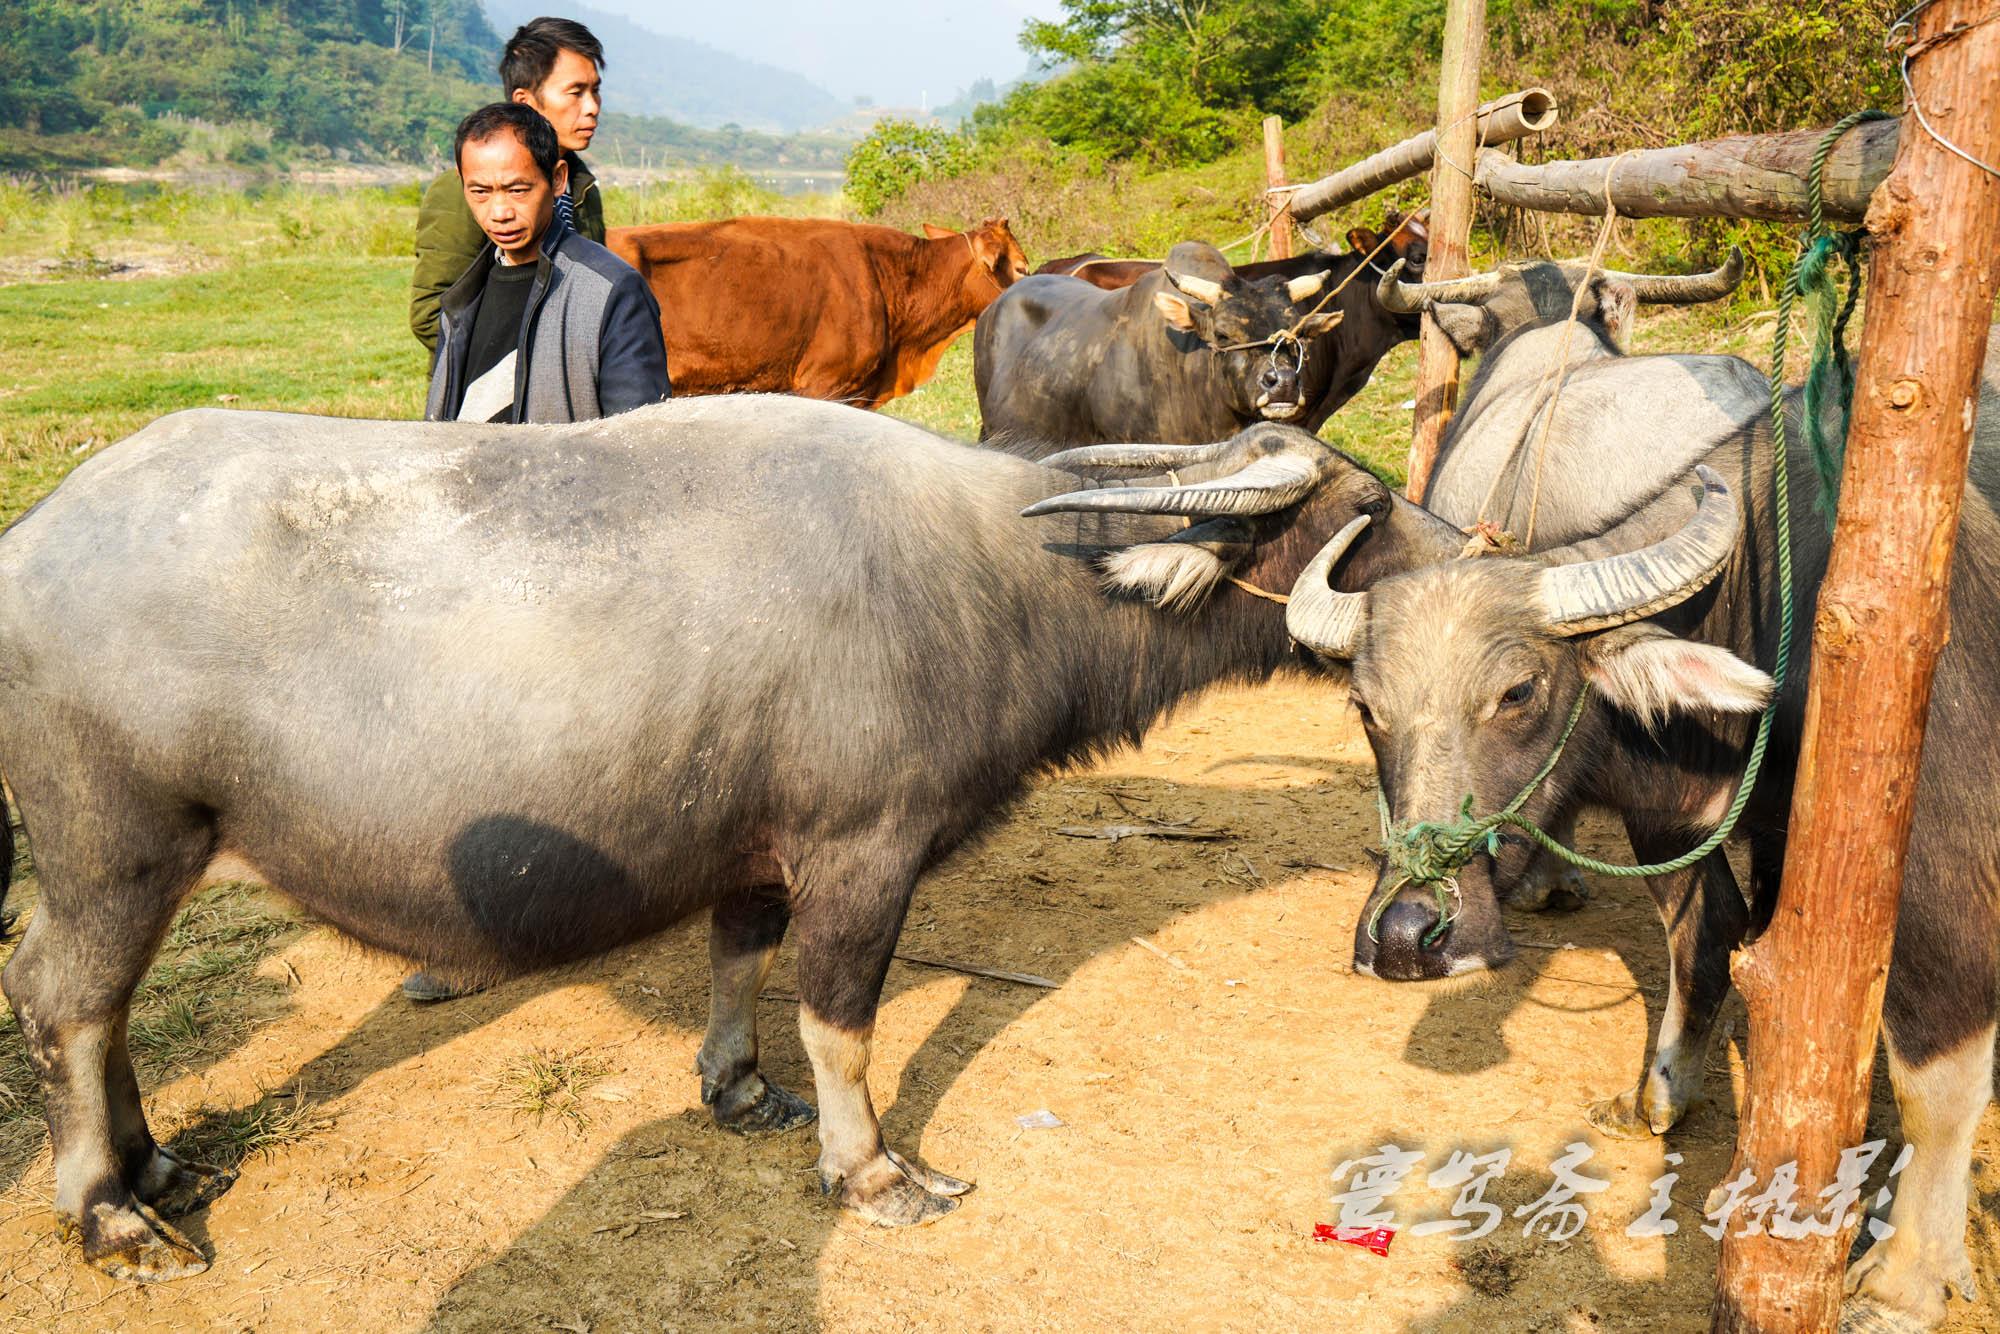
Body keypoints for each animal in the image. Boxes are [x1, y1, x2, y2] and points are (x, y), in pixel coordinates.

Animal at [3, 400, 1472, 1280]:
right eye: (1363, 504)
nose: (1472, 544)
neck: (992, 577)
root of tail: (35, 539)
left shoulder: (760, 849)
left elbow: (741, 959)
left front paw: (737, 1085)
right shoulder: (864, 849)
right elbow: (844, 1018)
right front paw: (872, 1168)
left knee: (103, 1007)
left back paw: (153, 1157)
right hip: (114, 848)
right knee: (64, 998)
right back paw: (109, 1209)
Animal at [1280, 320, 2000, 1328]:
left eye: (1519, 691)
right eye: (1365, 708)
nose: (1407, 937)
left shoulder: (1945, 871)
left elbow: (1939, 1076)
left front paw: (1903, 1281)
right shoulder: (1694, 818)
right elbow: (1710, 937)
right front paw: (1664, 1097)